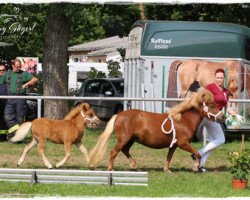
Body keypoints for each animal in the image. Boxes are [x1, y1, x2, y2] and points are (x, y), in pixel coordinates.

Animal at [90, 89, 225, 172]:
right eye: (212, 105)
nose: (222, 117)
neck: (183, 120)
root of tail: (118, 115)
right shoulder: (183, 143)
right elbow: (197, 153)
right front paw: (196, 167)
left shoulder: (174, 145)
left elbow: (169, 157)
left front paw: (167, 170)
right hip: (124, 139)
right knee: (114, 151)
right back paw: (110, 169)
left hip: (130, 140)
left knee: (125, 150)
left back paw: (134, 165)